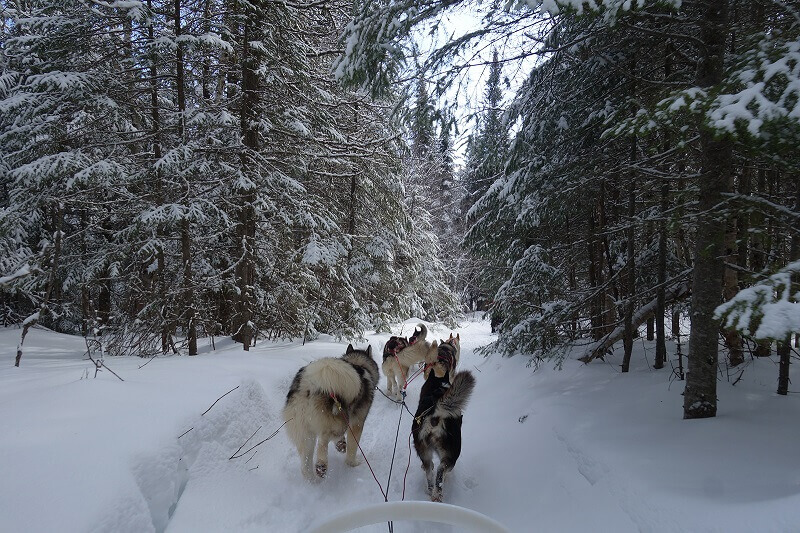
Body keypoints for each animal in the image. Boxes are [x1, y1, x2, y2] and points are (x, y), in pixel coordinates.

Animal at [282, 342, 380, 480]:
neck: (358, 364)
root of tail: (309, 385)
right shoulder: (357, 424)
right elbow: (352, 449)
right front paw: (352, 462)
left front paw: (341, 444)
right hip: (340, 423)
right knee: (323, 440)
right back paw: (322, 464)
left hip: (305, 433)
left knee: (305, 465)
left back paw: (313, 479)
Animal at [412, 334, 476, 500]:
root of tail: (435, 414)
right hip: (452, 454)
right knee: (441, 472)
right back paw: (438, 493)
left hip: (424, 453)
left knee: (429, 471)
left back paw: (431, 491)